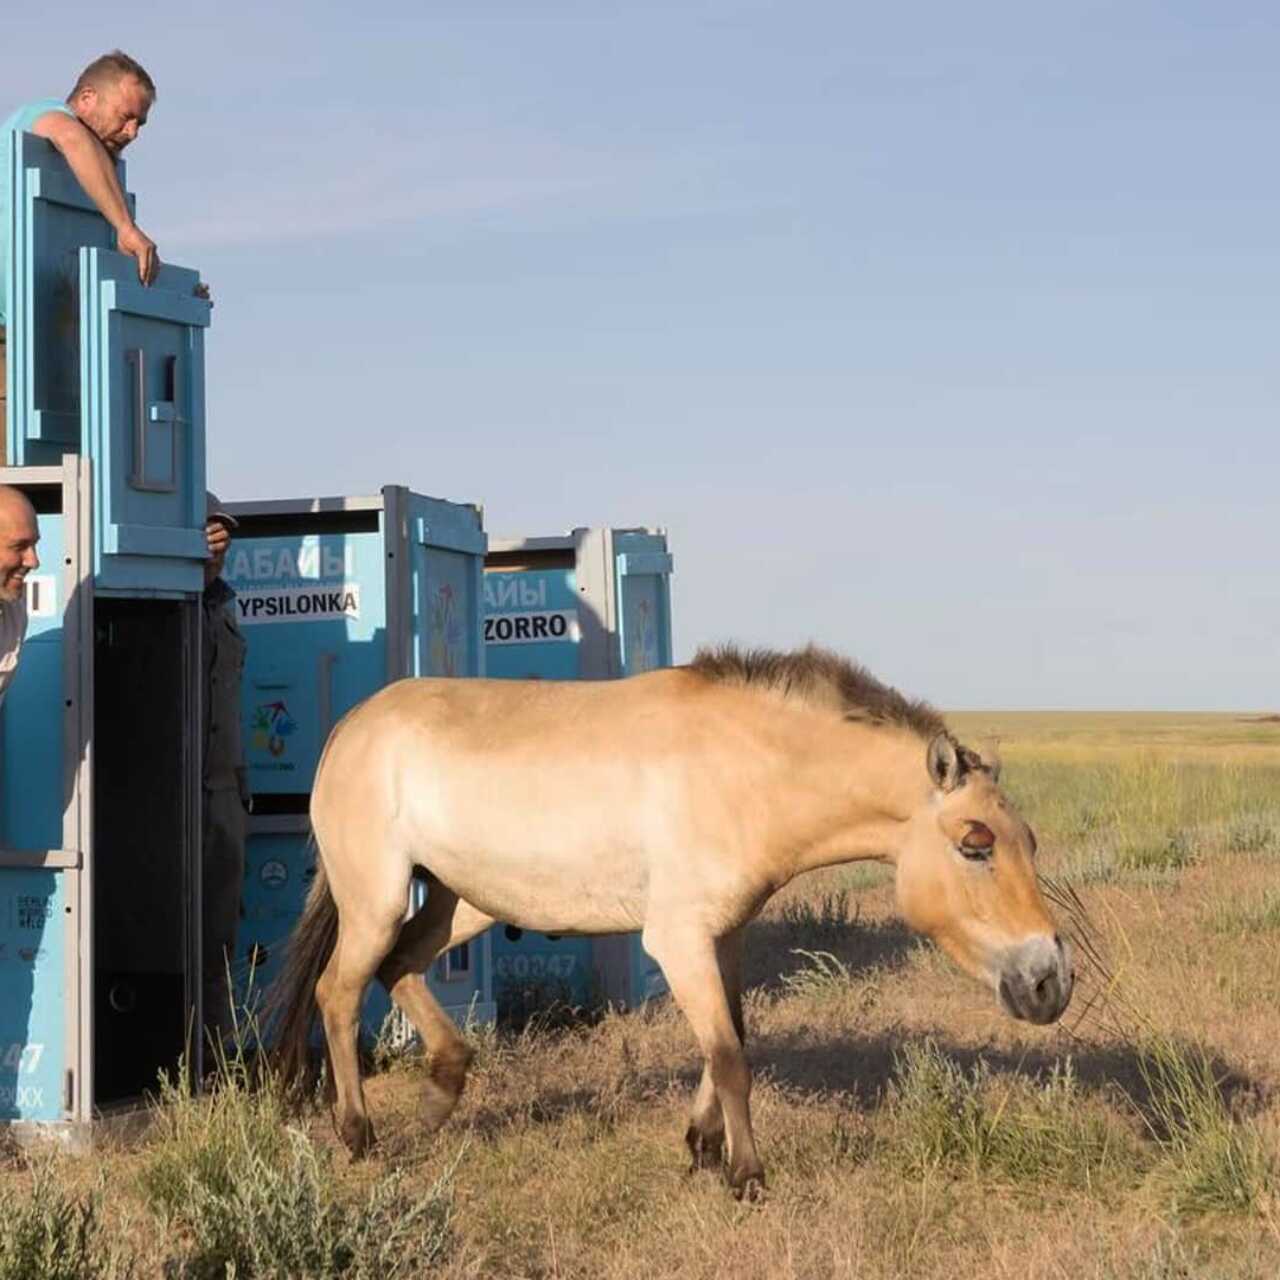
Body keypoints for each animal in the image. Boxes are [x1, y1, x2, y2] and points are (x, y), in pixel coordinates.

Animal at [270, 650, 1070, 1198]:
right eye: (976, 844)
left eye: (1029, 840)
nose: (1050, 984)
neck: (742, 769)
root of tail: (352, 726)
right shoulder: (679, 940)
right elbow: (729, 1055)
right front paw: (745, 1174)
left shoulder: (725, 937)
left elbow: (733, 1039)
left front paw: (702, 1146)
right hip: (376, 901)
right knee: (340, 993)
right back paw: (359, 1135)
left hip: (458, 901)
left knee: (399, 966)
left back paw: (442, 1092)